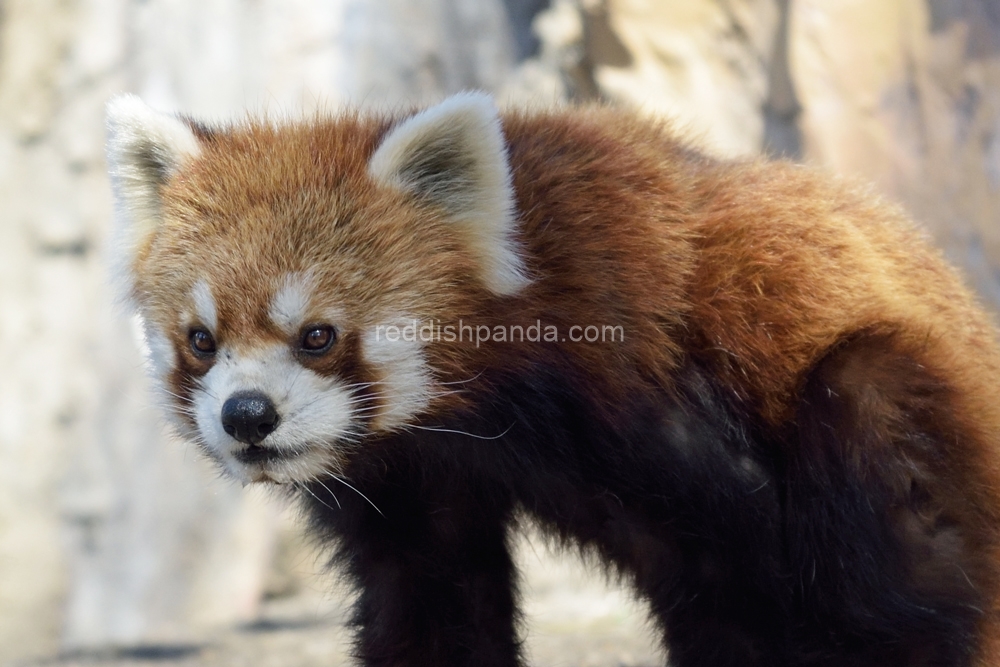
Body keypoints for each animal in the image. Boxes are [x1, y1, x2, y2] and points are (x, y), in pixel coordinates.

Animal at [103, 91, 1000, 664]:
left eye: (317, 335)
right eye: (201, 341)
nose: (247, 415)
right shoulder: (413, 475)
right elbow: (430, 600)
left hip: (887, 404)